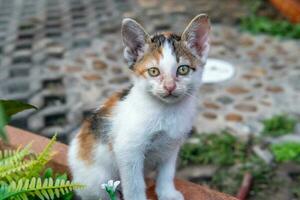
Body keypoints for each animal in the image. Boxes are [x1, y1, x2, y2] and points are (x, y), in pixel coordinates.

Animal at [67, 14, 211, 200]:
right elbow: (134, 184)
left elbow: (167, 172)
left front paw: (167, 193)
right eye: (154, 72)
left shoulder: (171, 146)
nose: (169, 87)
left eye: (183, 69)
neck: (167, 111)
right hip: (95, 180)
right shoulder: (128, 150)